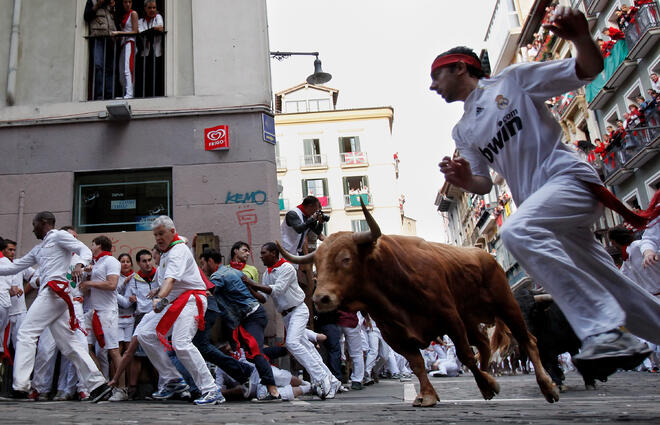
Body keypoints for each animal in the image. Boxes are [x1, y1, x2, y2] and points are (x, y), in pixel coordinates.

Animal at [276, 200, 560, 406]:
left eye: (346, 259)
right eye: (318, 262)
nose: (320, 298)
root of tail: (484, 255)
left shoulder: (449, 318)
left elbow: (464, 355)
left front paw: (487, 385)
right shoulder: (394, 334)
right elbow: (417, 363)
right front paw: (428, 395)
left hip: (506, 304)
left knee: (526, 340)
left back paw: (547, 387)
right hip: (471, 319)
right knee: (484, 345)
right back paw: (490, 374)